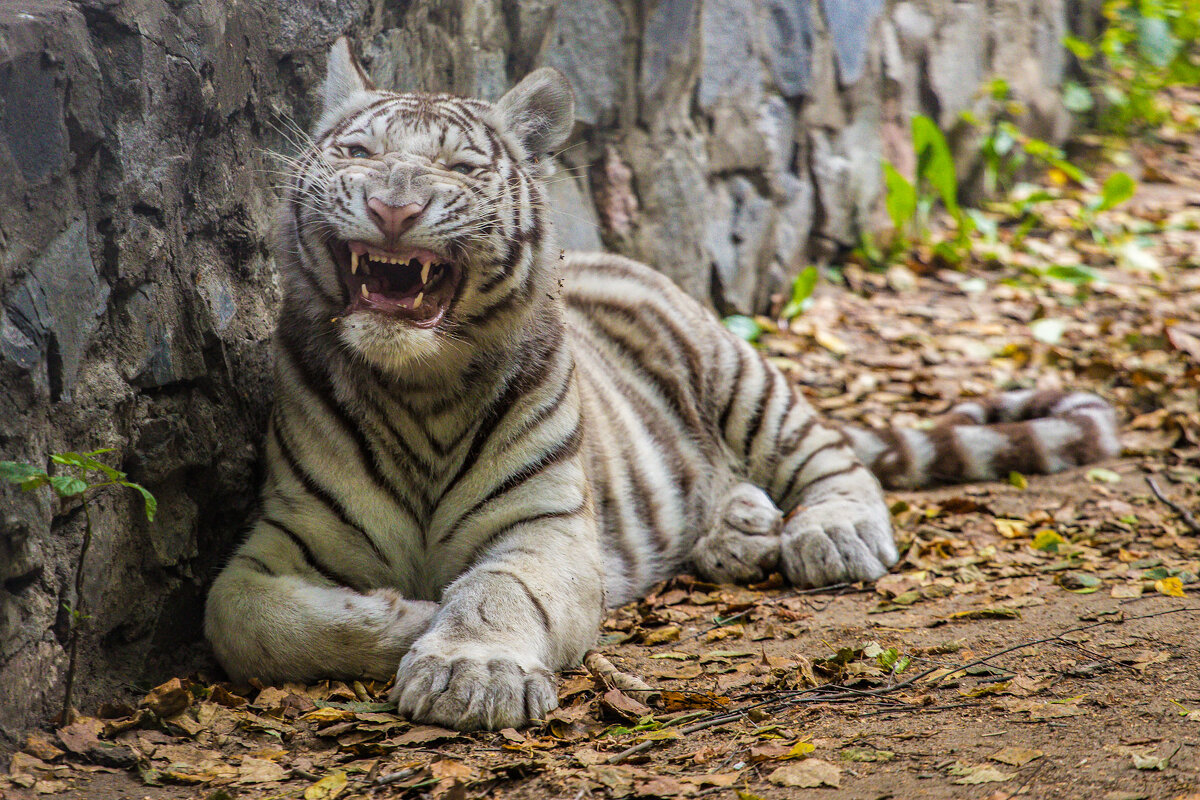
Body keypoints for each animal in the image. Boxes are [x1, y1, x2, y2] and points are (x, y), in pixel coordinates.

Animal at [204, 40, 1113, 734]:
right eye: (358, 153)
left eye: (458, 168)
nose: (395, 206)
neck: (415, 388)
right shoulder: (280, 538)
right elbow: (241, 617)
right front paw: (405, 618)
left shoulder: (548, 531)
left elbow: (497, 592)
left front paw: (468, 672)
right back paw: (740, 528)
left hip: (739, 374)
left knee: (830, 459)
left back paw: (828, 534)